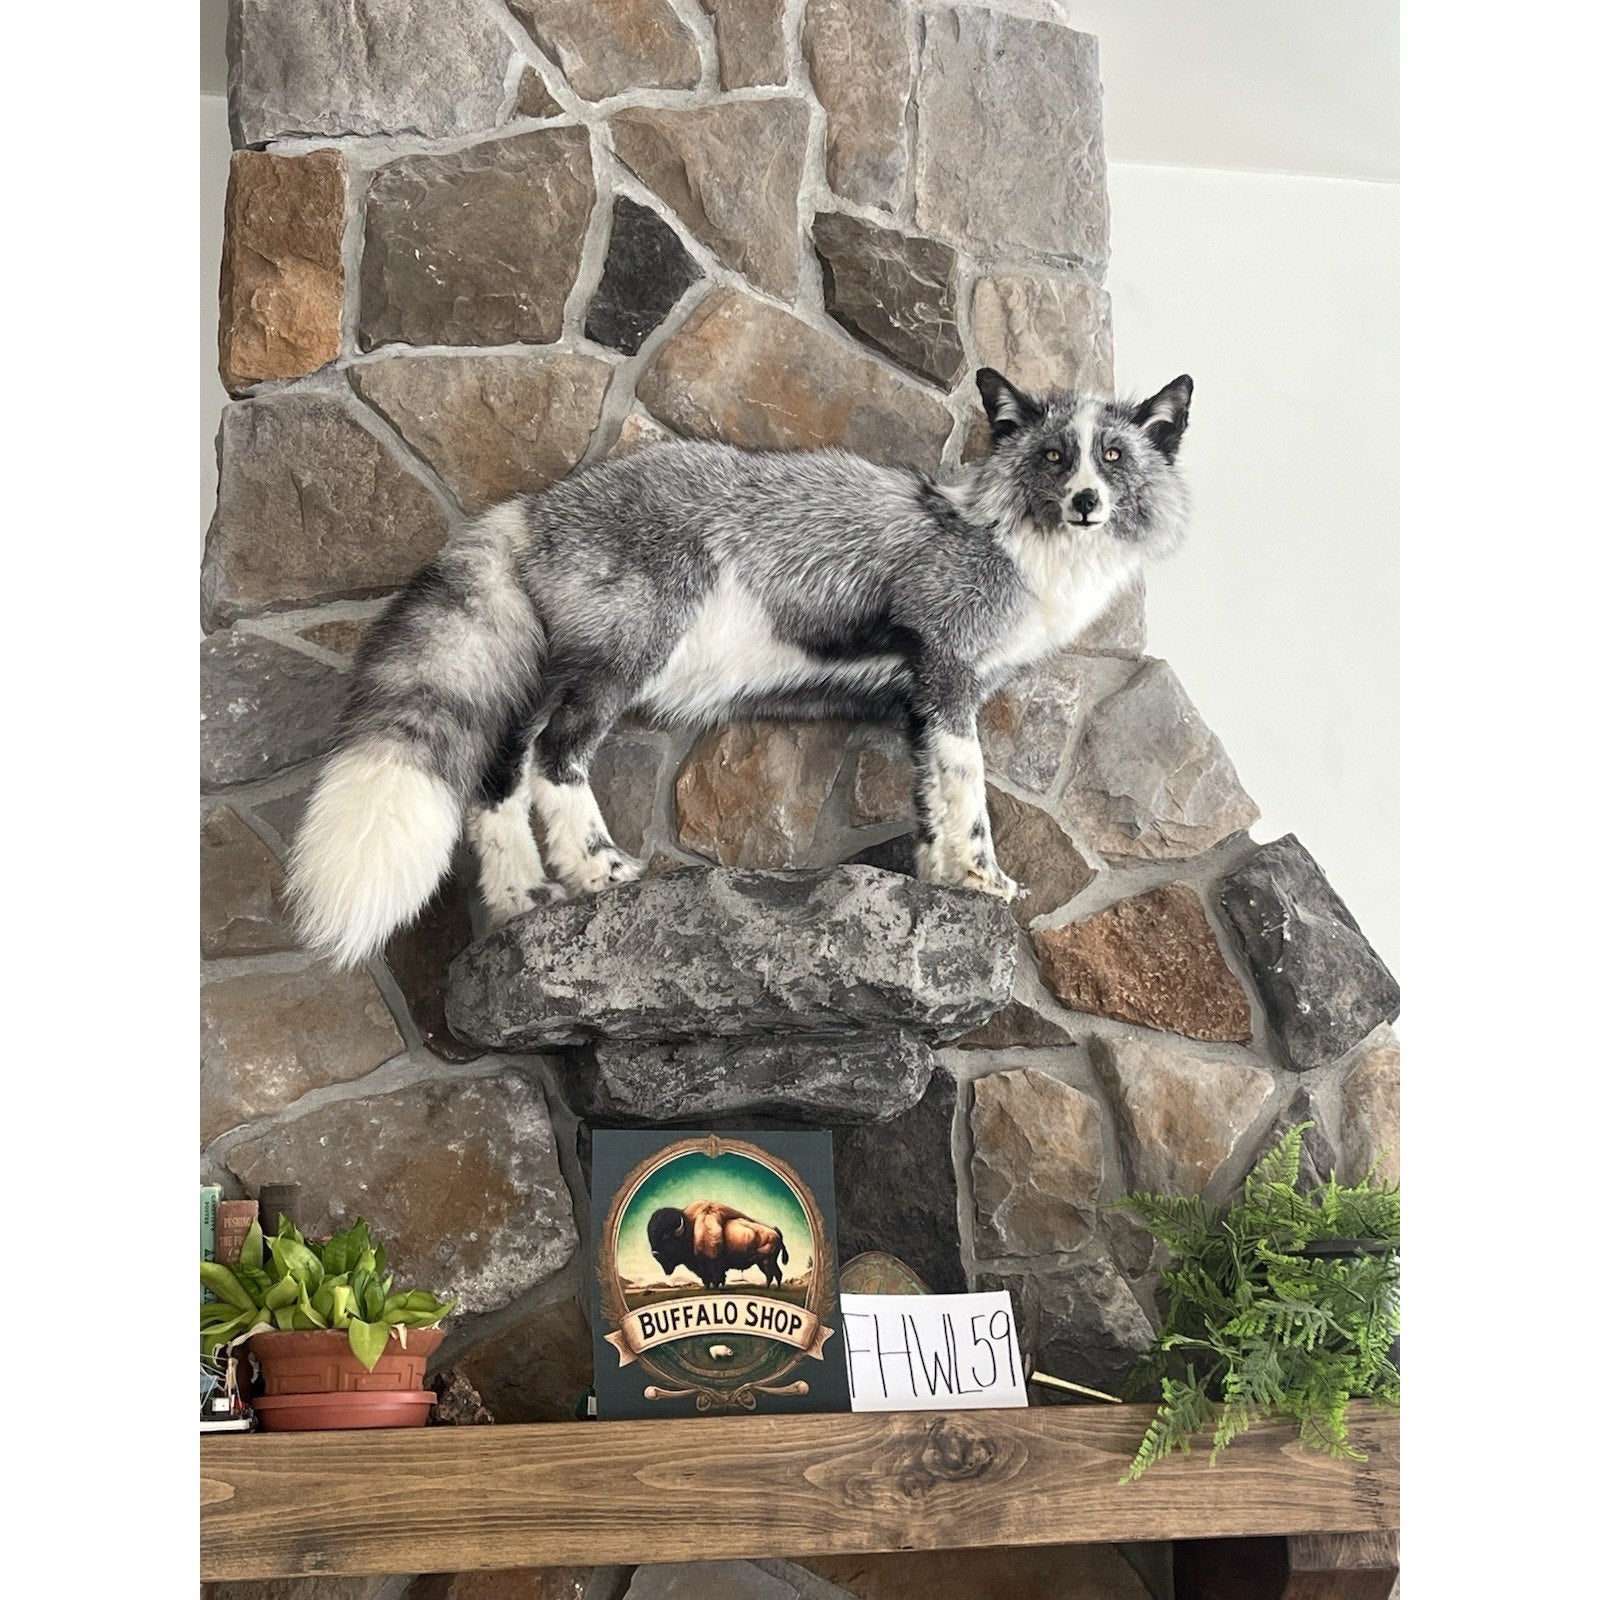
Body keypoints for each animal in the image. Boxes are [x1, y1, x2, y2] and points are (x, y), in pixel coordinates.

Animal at [287, 368, 1193, 967]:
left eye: (1114, 456)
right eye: (1053, 458)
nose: (1086, 501)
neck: (1009, 543)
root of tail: (537, 507)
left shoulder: (924, 700)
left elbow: (932, 800)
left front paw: (940, 882)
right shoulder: (948, 674)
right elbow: (969, 791)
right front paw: (981, 876)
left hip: (555, 677)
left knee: (497, 781)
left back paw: (523, 901)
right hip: (622, 663)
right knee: (554, 760)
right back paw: (600, 872)